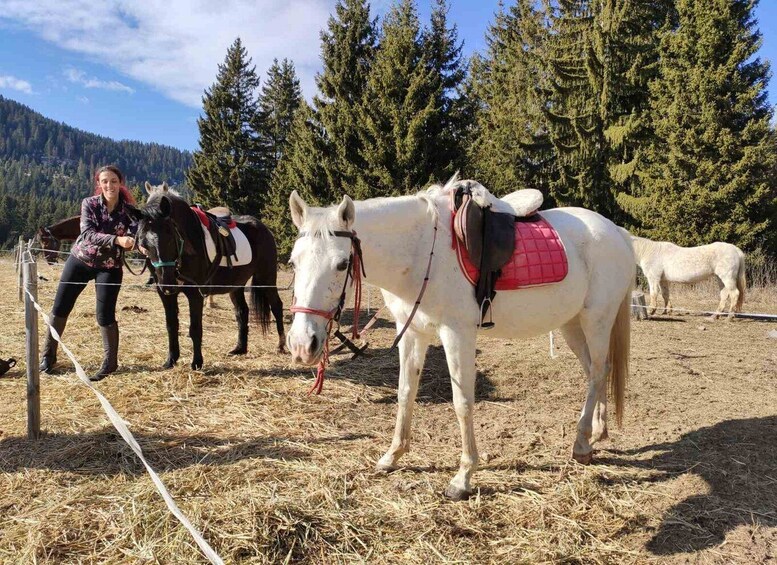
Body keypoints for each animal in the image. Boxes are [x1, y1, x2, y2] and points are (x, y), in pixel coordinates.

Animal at [129, 184, 286, 370]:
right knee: (242, 311)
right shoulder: (165, 294)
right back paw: (240, 348)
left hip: (266, 278)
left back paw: (281, 345)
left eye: (170, 238)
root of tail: (264, 228)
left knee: (276, 306)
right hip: (236, 285)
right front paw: (171, 360)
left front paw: (197, 362)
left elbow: (195, 328)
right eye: (144, 243)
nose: (168, 282)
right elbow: (171, 325)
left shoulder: (195, 293)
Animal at [288, 177, 632, 498]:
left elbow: (462, 402)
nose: (303, 344)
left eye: (342, 264)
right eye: (293, 261)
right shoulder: (412, 333)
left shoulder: (457, 334)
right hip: (571, 324)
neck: (421, 252)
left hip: (597, 320)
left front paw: (463, 477)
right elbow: (405, 392)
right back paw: (596, 433)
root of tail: (617, 232)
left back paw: (581, 445)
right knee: (596, 371)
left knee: (598, 371)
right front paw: (393, 455)